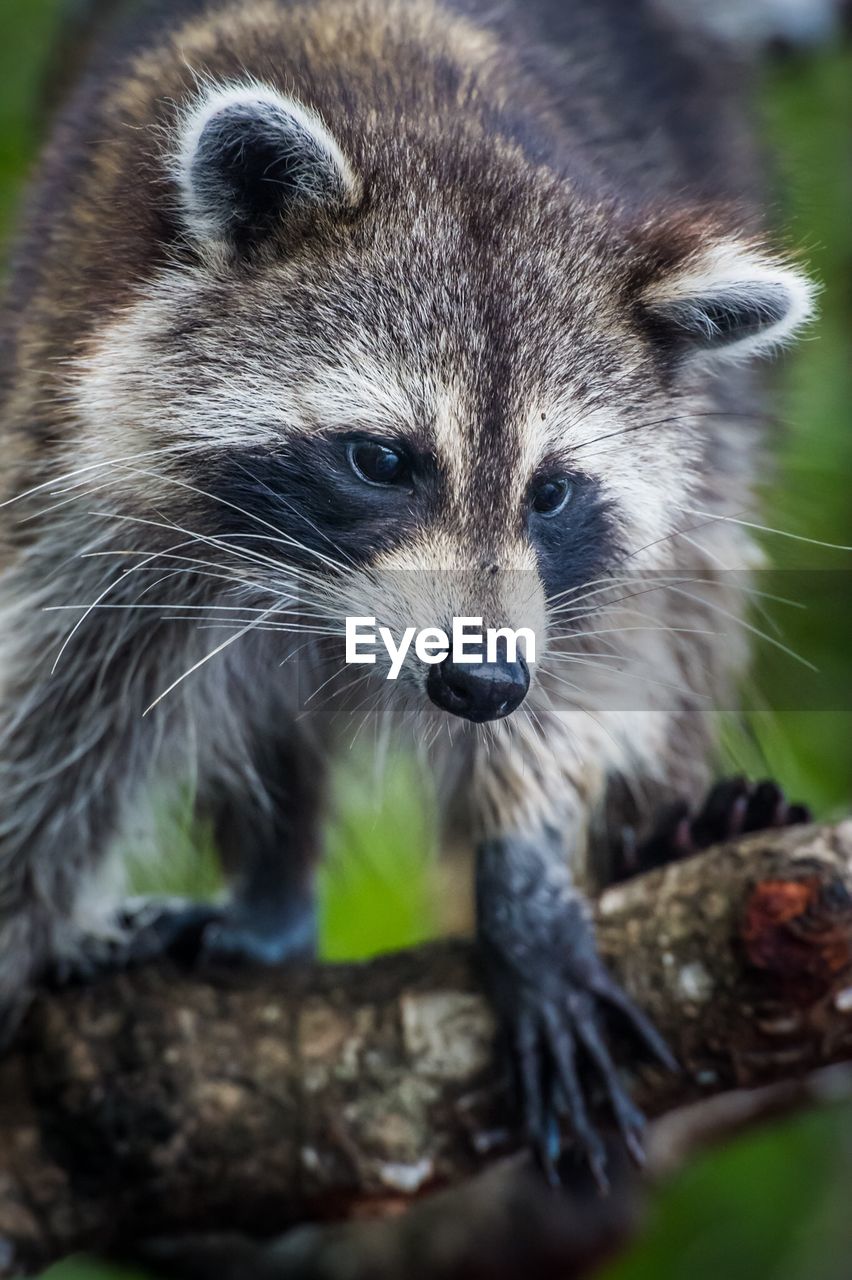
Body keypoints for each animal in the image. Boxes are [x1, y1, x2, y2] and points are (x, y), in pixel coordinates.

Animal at [0, 0, 813, 1177]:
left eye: (552, 492)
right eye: (383, 460)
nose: (481, 683)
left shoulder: (587, 570)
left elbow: (595, 666)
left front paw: (524, 866)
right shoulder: (78, 463)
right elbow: (51, 724)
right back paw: (274, 898)